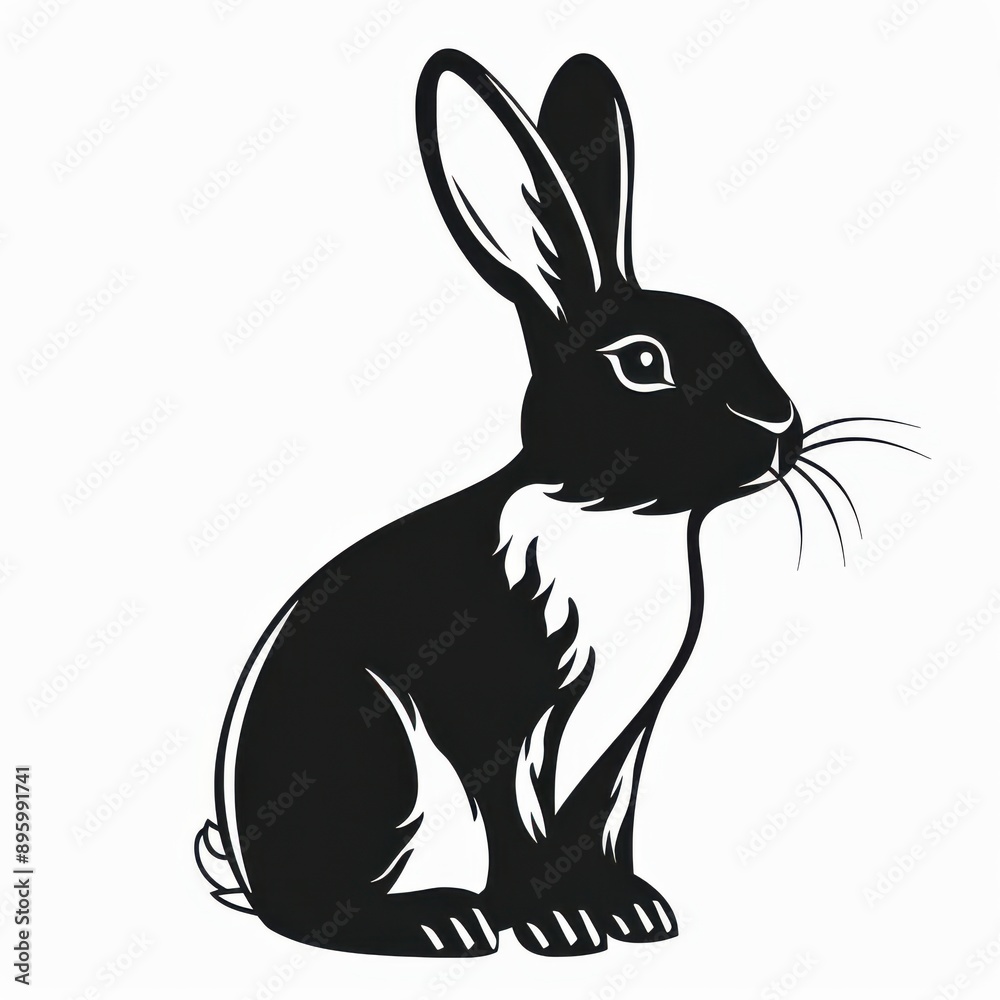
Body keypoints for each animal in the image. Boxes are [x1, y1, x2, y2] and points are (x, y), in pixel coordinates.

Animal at [195, 48, 918, 958]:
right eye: (642, 363)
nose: (779, 424)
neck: (609, 518)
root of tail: (245, 874)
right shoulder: (494, 718)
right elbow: (515, 821)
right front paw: (560, 926)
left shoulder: (623, 739)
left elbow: (602, 819)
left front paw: (632, 912)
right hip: (374, 760)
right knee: (320, 911)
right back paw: (441, 921)